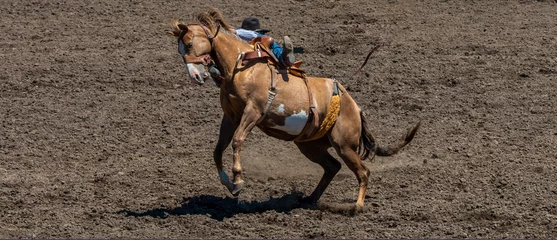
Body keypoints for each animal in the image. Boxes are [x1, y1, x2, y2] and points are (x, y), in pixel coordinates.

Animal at [167, 8, 420, 208]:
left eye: (189, 43)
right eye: (180, 50)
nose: (196, 75)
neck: (242, 67)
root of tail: (356, 108)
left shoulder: (254, 111)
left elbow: (237, 140)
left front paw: (238, 180)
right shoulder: (230, 116)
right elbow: (218, 150)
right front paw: (229, 184)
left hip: (344, 144)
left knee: (363, 172)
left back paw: (356, 206)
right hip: (311, 146)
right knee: (333, 167)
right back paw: (310, 199)